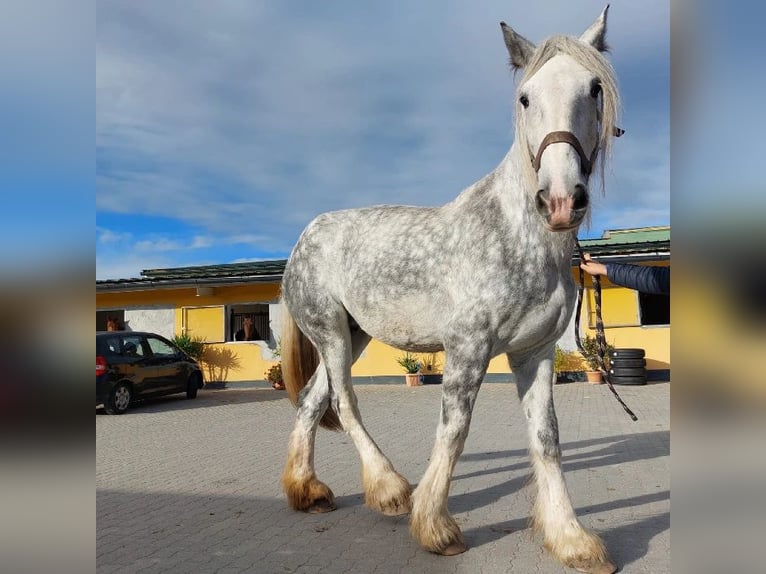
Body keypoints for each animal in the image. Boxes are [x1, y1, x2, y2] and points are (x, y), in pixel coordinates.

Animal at [279, 7, 621, 574]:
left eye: (593, 88)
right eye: (525, 97)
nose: (559, 200)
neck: (516, 236)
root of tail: (305, 237)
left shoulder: (535, 353)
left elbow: (547, 439)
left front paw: (571, 539)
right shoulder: (467, 349)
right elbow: (455, 430)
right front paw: (435, 527)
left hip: (351, 337)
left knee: (310, 402)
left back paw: (308, 492)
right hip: (329, 334)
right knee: (345, 404)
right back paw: (390, 490)